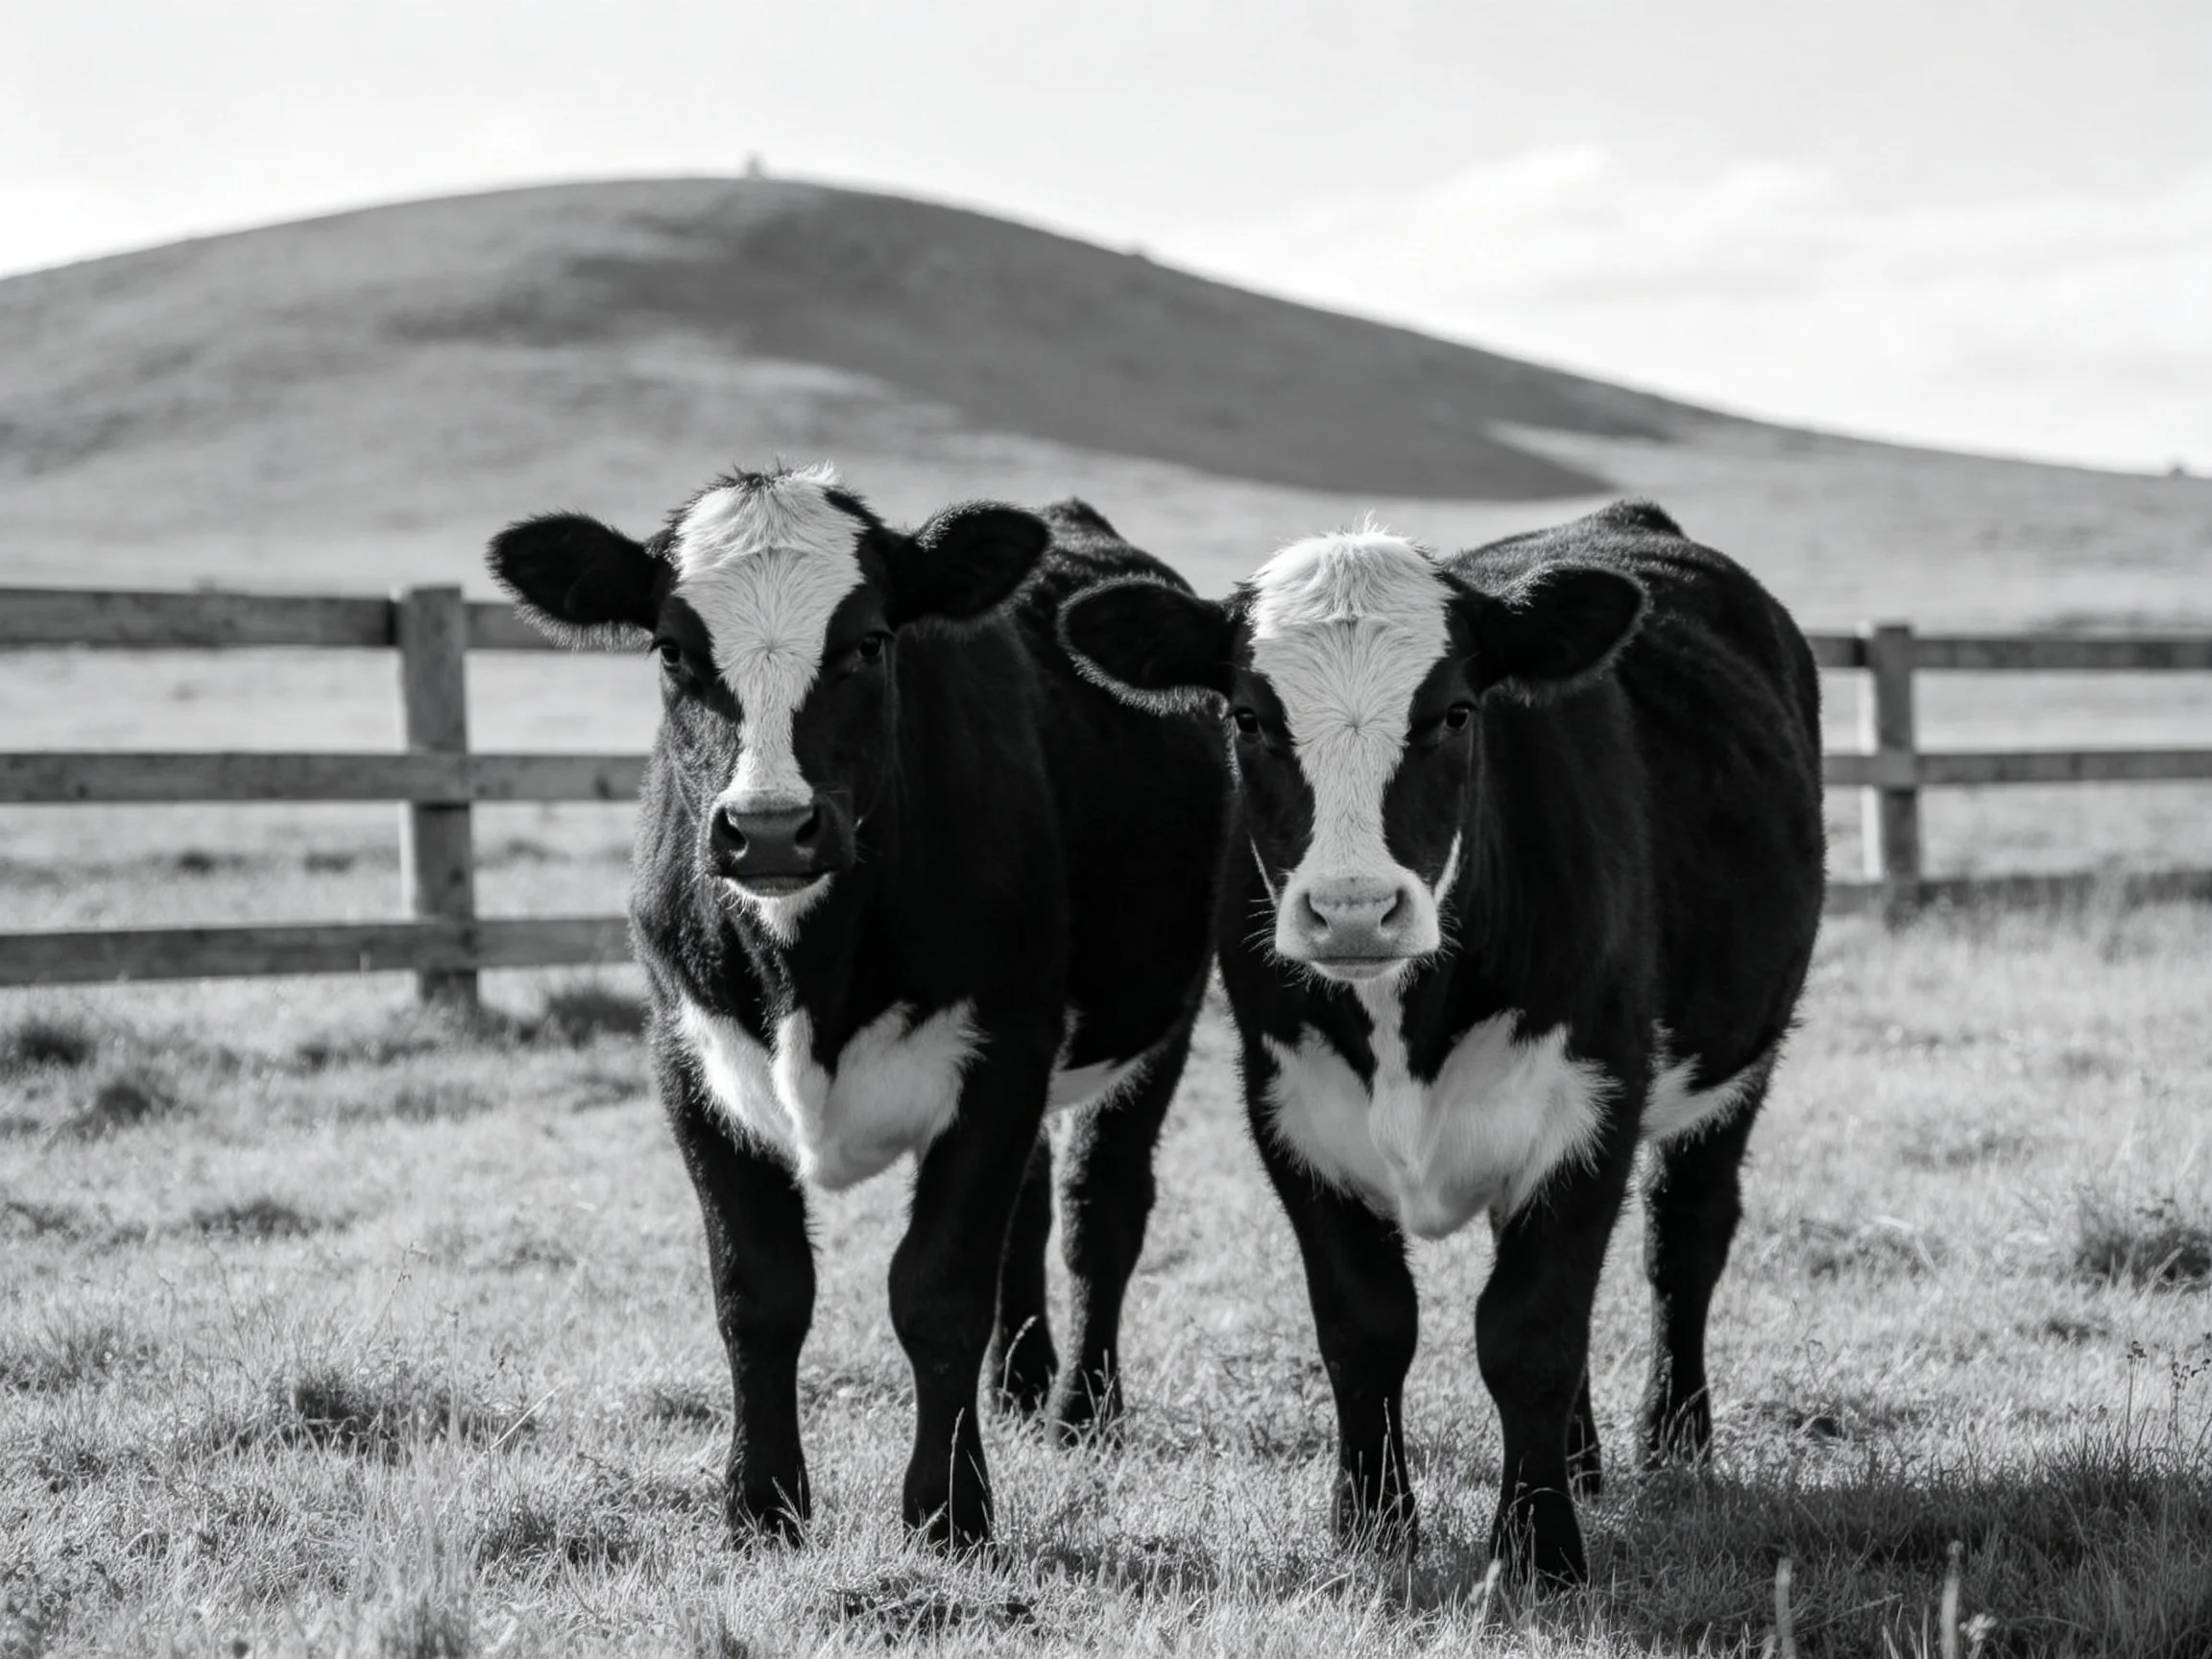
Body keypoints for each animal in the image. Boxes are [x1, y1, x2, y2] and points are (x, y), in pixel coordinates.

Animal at [487, 465, 1229, 1549]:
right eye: (671, 648)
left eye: (871, 642)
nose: (768, 829)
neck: (810, 973)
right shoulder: (685, 1060)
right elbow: (759, 1290)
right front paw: (759, 1506)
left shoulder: (1005, 1046)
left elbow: (937, 1287)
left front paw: (950, 1512)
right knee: (1032, 1206)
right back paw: (1019, 1384)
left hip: (1161, 1013)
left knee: (1101, 1210)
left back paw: (1081, 1411)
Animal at [1057, 499, 1825, 1583]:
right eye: (1248, 717)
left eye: (1457, 713)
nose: (1352, 910)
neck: (1400, 1026)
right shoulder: (1288, 1107)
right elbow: (1366, 1325)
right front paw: (1372, 1526)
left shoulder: (1596, 1100)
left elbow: (1529, 1331)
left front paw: (1540, 1549)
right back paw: (1584, 1461)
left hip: (1741, 1057)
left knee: (1685, 1240)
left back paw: (1674, 1446)